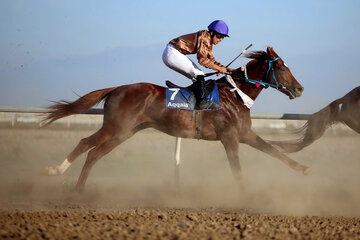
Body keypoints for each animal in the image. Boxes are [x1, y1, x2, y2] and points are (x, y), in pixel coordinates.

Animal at [44, 47, 310, 191]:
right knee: (85, 143)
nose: (300, 89)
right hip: (115, 127)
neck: (235, 94)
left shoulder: (245, 134)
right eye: (282, 67)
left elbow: (273, 150)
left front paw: (303, 168)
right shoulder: (230, 137)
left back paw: (79, 189)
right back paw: (56, 171)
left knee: (95, 153)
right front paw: (246, 195)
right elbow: (236, 169)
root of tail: (117, 88)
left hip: (126, 132)